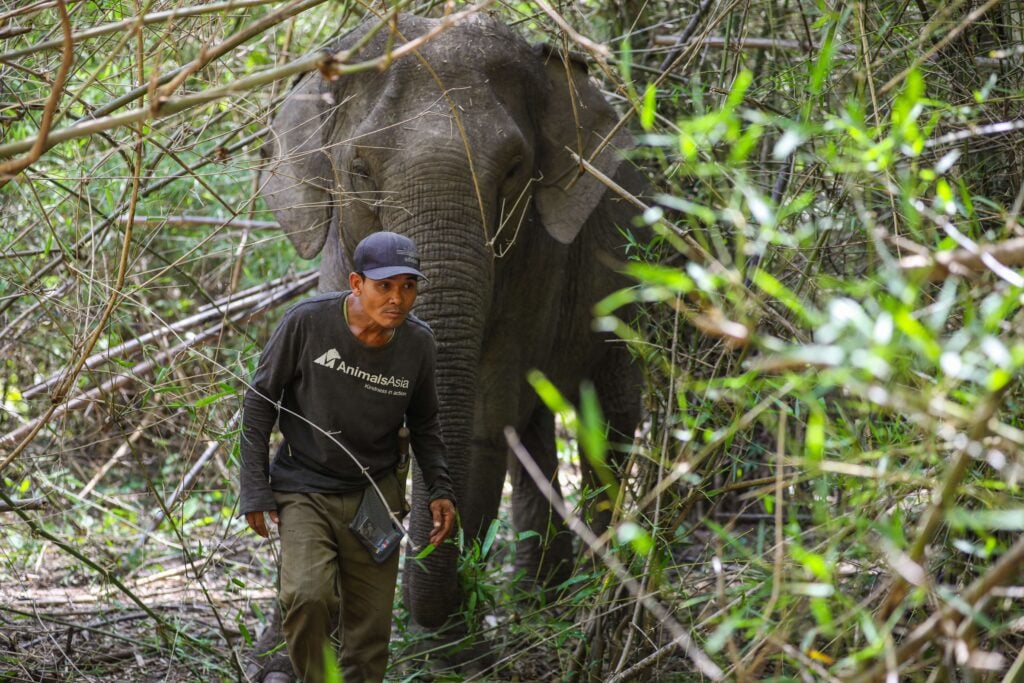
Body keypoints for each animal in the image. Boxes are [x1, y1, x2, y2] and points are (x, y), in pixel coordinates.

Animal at [258, 9, 647, 667]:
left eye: (514, 169)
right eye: (359, 169)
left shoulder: (538, 261)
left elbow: (482, 420)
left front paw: (453, 656)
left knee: (607, 422)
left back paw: (584, 597)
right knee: (536, 428)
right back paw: (540, 598)